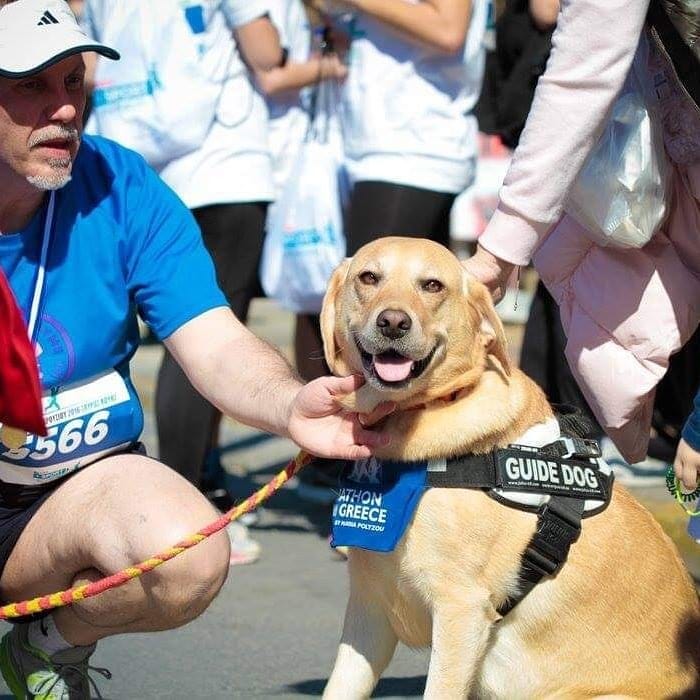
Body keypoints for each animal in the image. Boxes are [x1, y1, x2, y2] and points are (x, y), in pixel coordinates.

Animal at [318, 238, 700, 696]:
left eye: (432, 285)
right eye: (368, 277)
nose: (394, 322)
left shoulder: (460, 609)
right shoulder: (369, 607)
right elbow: (338, 686)